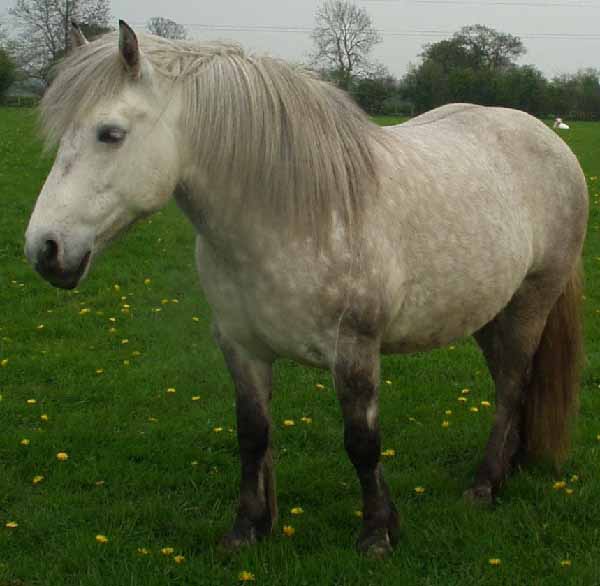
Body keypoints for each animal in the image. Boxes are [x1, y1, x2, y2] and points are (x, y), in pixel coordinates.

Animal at [23, 20, 584, 556]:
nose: (45, 249)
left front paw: (377, 534)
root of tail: (548, 138)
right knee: (509, 382)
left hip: (531, 301)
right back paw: (508, 468)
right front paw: (247, 529)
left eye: (110, 133)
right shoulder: (241, 347)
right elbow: (253, 434)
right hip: (490, 311)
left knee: (512, 383)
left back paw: (484, 486)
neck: (292, 215)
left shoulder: (354, 350)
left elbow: (362, 442)